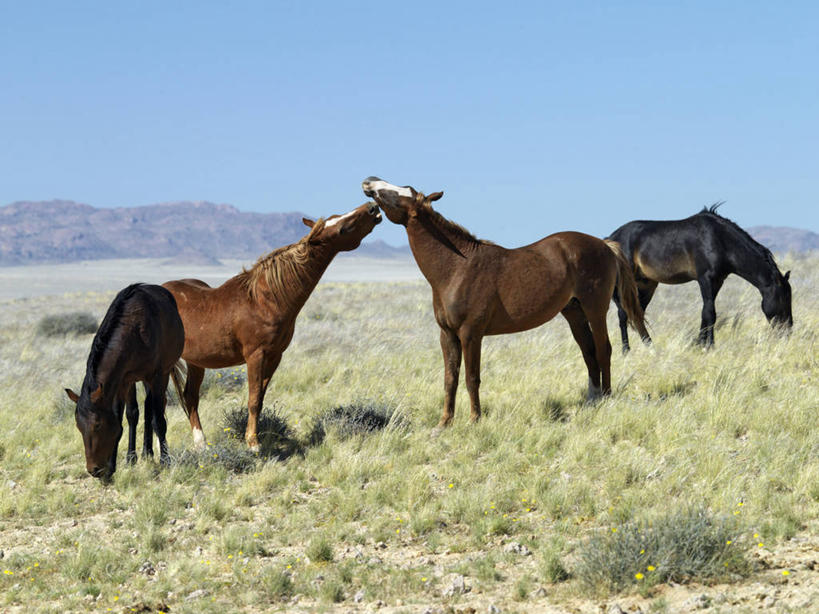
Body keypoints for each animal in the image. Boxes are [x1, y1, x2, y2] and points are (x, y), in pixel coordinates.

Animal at [64, 284, 186, 482]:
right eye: (78, 426)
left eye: (97, 425)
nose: (94, 470)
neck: (135, 331)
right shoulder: (123, 380)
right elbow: (124, 418)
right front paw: (119, 463)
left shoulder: (158, 376)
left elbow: (159, 420)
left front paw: (166, 462)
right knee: (142, 411)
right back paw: (144, 453)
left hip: (159, 376)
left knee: (152, 410)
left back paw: (151, 454)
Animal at [167, 203, 388, 452]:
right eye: (342, 227)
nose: (372, 207)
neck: (266, 300)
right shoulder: (255, 356)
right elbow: (253, 399)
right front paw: (253, 444)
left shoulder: (274, 356)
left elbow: (260, 399)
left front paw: (256, 438)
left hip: (197, 362)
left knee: (190, 397)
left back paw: (201, 445)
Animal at [362, 177, 652, 428]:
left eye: (399, 193)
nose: (369, 181)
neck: (457, 268)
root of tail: (604, 245)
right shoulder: (448, 335)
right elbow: (450, 378)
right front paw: (444, 423)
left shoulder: (471, 333)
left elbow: (471, 377)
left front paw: (474, 420)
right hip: (574, 313)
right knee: (589, 352)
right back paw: (593, 400)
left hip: (595, 309)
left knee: (604, 350)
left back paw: (606, 399)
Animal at [608, 205, 796, 352]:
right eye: (784, 298)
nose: (787, 331)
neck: (720, 240)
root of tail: (611, 239)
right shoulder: (706, 279)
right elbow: (710, 313)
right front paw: (709, 346)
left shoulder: (717, 281)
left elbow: (706, 313)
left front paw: (700, 344)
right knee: (623, 314)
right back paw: (626, 351)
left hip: (646, 285)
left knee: (637, 314)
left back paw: (650, 347)